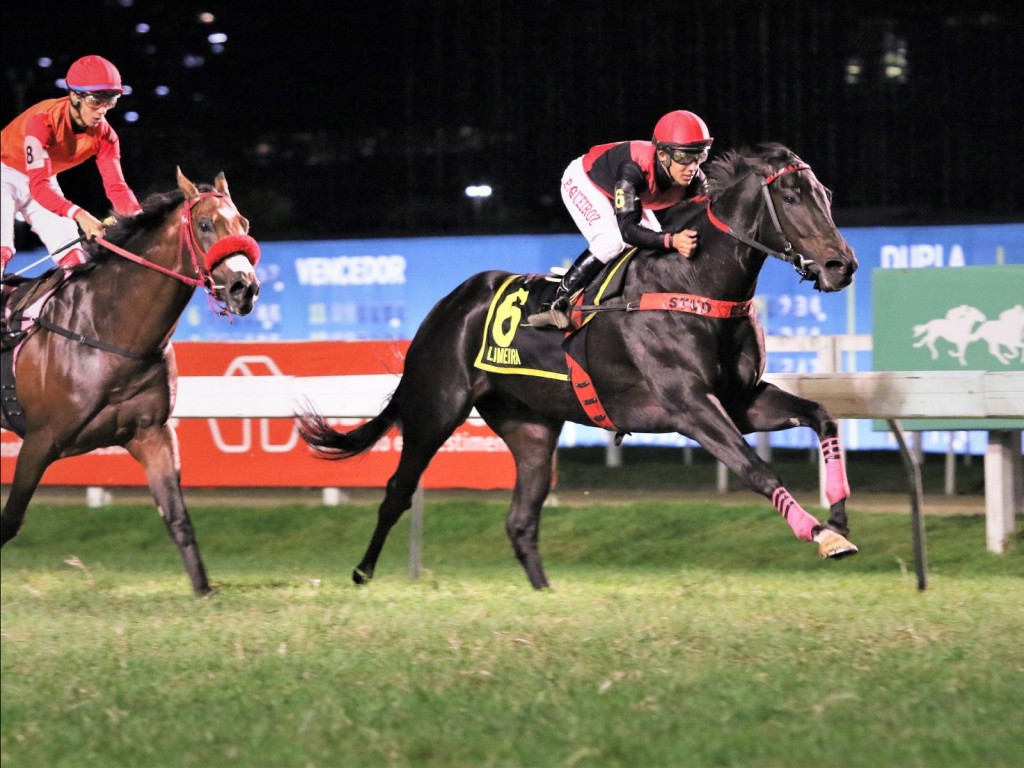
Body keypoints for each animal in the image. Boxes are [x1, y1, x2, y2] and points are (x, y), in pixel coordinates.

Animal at [3, 171, 264, 598]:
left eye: (244, 223)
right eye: (204, 225)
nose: (245, 287)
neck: (105, 329)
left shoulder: (150, 433)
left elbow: (178, 519)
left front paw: (204, 592)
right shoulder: (40, 439)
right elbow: (10, 518)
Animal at [299, 144, 864, 589]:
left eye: (825, 194)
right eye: (790, 197)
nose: (842, 266)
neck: (693, 281)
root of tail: (448, 305)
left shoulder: (738, 399)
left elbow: (822, 416)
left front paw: (838, 516)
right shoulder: (688, 406)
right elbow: (754, 467)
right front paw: (820, 534)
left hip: (530, 426)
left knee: (521, 520)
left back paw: (544, 593)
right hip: (435, 409)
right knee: (398, 491)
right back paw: (362, 573)